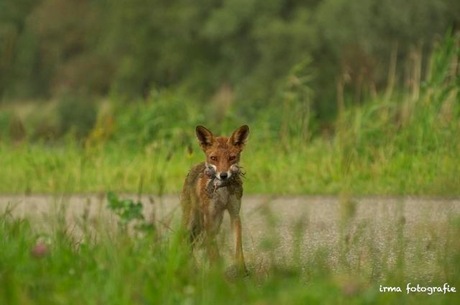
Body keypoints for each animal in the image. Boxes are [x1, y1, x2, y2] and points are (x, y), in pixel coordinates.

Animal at [181, 123, 252, 274]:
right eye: (214, 158)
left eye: (232, 157)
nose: (223, 175)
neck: (222, 192)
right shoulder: (209, 217)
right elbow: (213, 249)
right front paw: (215, 271)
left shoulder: (234, 214)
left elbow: (238, 246)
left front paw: (242, 269)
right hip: (191, 221)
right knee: (185, 243)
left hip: (215, 222)